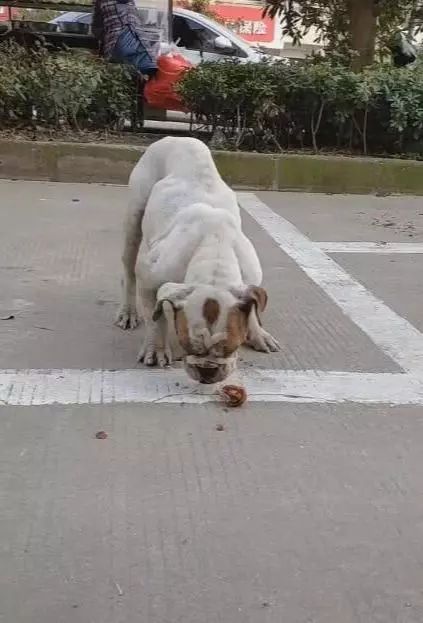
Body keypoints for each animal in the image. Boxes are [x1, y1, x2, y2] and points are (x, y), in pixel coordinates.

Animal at [117, 136, 280, 386]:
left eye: (232, 348)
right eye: (187, 346)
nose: (207, 372)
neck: (215, 253)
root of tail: (175, 138)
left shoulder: (250, 282)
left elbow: (252, 307)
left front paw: (257, 333)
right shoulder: (149, 276)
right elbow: (156, 318)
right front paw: (156, 348)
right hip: (135, 215)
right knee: (128, 267)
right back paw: (128, 312)